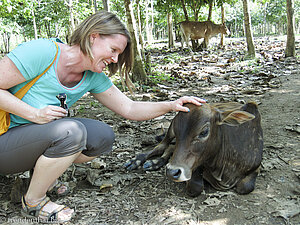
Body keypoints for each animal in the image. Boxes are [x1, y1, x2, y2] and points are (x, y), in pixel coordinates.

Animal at [125, 102, 264, 197]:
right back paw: (137, 161)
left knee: (169, 148)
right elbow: (195, 187)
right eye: (178, 131)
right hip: (169, 131)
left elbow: (244, 187)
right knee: (161, 146)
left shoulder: (257, 166)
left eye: (204, 132)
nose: (171, 172)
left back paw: (156, 162)